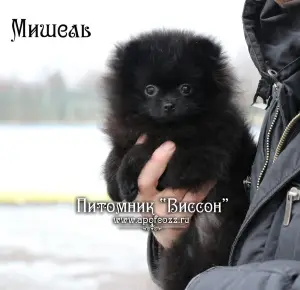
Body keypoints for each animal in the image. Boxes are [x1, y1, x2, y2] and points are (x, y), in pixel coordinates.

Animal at [101, 30, 255, 290]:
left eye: (186, 88)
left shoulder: (204, 153)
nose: (169, 104)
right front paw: (113, 182)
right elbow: (117, 152)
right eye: (150, 89)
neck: (170, 127)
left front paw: (127, 173)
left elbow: (144, 149)